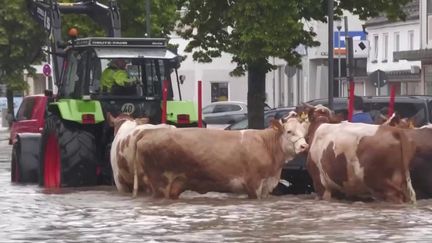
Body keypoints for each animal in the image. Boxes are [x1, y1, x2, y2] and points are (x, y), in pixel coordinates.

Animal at [134, 115, 308, 200]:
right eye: (289, 131)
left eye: (304, 132)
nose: (304, 146)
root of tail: (149, 132)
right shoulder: (253, 184)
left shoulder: (266, 186)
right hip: (160, 183)